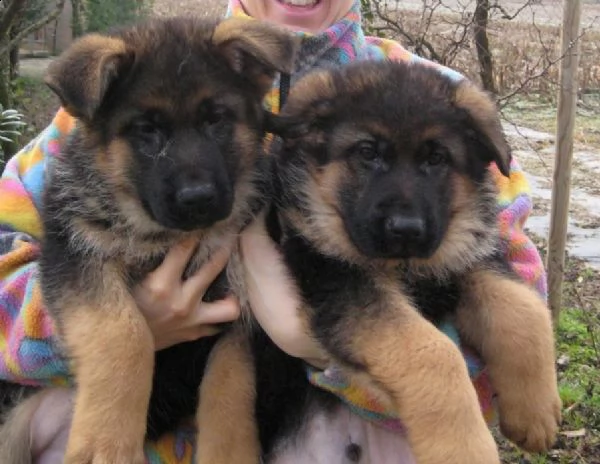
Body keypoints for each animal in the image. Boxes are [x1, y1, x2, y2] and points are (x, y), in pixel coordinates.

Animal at [0, 15, 296, 464]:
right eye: (147, 130)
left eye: (216, 119)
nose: (198, 200)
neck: (164, 235)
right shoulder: (75, 254)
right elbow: (125, 333)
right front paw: (107, 443)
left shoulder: (239, 306)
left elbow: (231, 387)